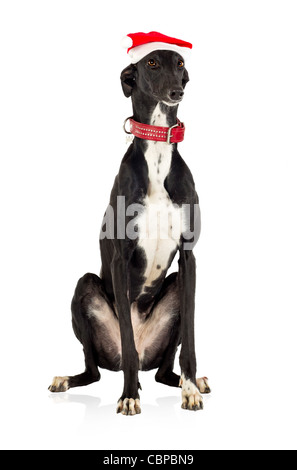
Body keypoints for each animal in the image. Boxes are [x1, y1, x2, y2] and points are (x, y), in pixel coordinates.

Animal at [48, 34, 209, 414]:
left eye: (180, 63)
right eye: (151, 63)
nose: (178, 91)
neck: (158, 155)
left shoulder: (189, 257)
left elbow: (191, 342)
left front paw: (191, 389)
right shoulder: (121, 259)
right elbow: (127, 346)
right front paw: (129, 396)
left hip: (175, 292)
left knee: (162, 372)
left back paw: (190, 383)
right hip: (85, 288)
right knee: (101, 367)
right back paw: (75, 379)